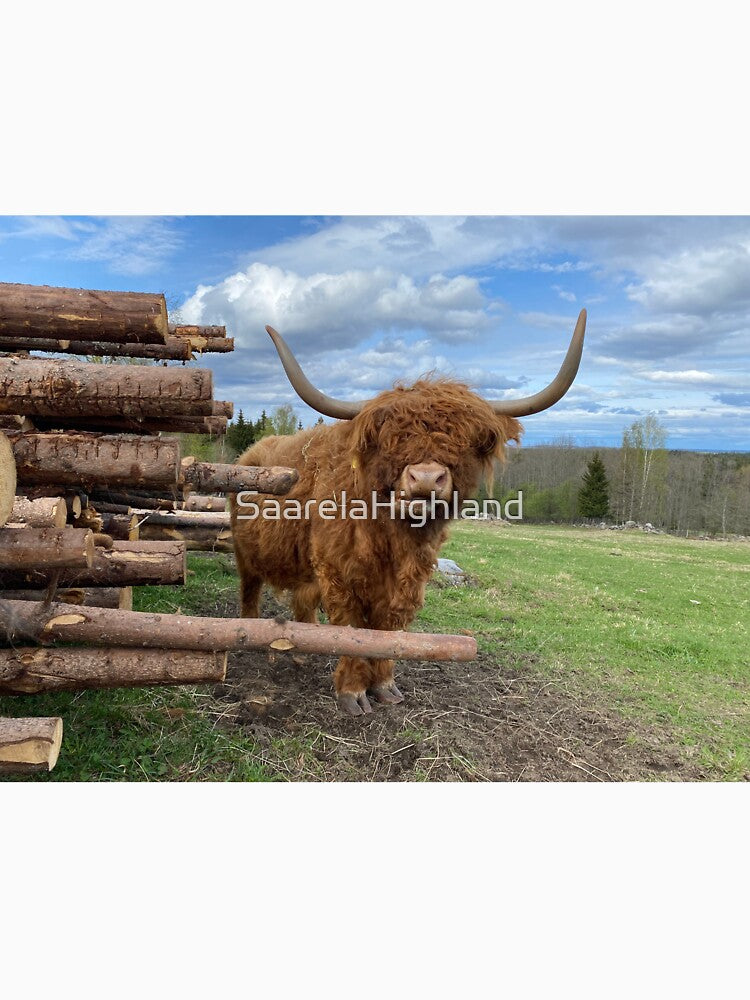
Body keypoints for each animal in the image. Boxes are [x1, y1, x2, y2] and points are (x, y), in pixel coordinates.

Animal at [230, 310, 586, 715]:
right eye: (391, 440)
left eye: (466, 441)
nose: (426, 478)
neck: (391, 537)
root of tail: (251, 452)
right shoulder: (339, 574)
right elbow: (351, 629)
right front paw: (352, 693)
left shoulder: (407, 580)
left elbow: (388, 629)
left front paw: (385, 687)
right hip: (245, 554)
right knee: (250, 590)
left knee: (302, 603)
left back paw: (304, 652)